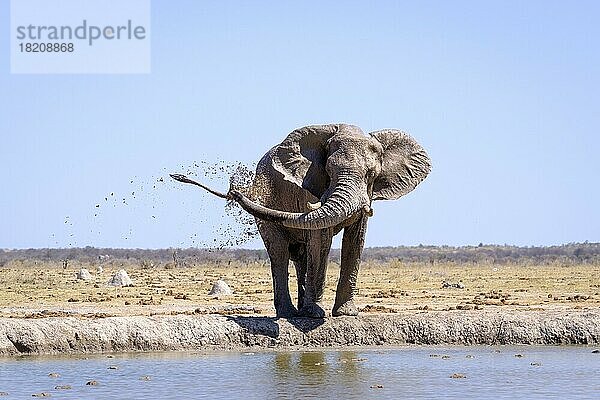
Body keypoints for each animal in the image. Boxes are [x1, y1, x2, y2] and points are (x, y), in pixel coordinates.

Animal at [173, 124, 432, 318]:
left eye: (372, 174)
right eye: (329, 170)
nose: (234, 192)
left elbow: (355, 240)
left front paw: (346, 314)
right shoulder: (309, 187)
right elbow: (321, 240)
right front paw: (316, 315)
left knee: (300, 255)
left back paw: (300, 310)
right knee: (279, 252)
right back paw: (290, 314)